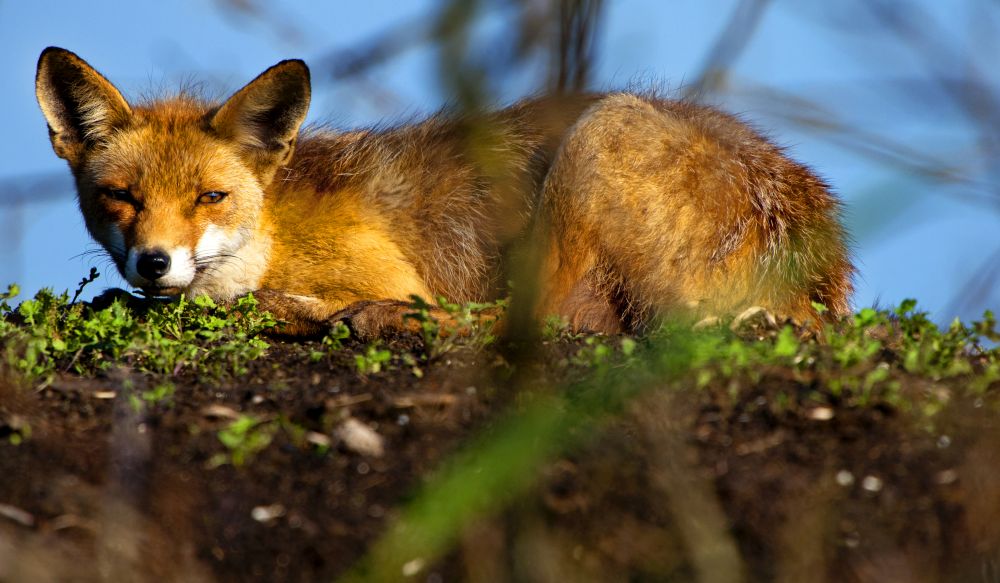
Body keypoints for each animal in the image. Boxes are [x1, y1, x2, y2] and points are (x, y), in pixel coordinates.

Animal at [35, 48, 856, 340]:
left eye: (210, 197)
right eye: (121, 198)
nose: (154, 263)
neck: (272, 234)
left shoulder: (391, 272)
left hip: (599, 138)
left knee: (542, 320)